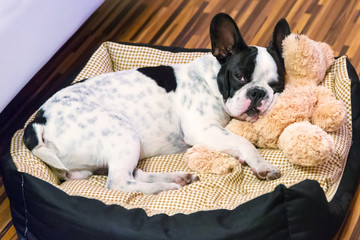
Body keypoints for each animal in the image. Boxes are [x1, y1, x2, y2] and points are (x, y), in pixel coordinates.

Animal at [23, 13, 292, 194]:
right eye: (239, 77)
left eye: (277, 85)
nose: (257, 93)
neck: (210, 82)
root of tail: (38, 122)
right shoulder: (202, 130)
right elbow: (242, 141)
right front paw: (262, 165)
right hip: (122, 132)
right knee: (119, 182)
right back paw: (164, 188)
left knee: (131, 174)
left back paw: (177, 178)